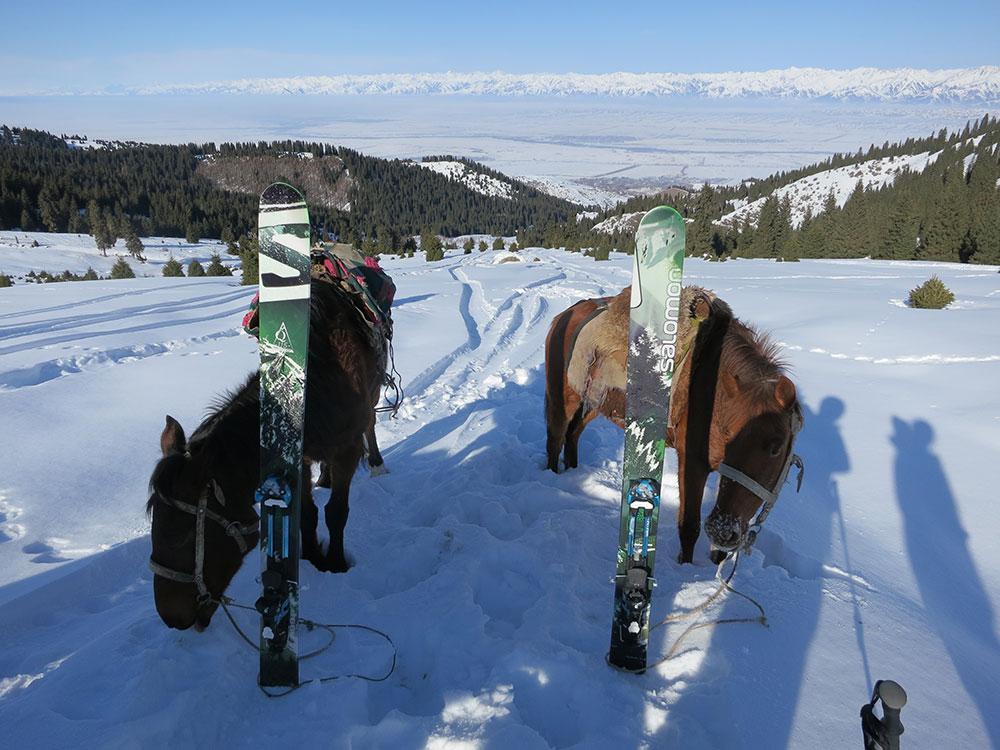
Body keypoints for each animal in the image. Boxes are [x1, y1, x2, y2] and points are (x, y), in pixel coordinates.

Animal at [146, 274, 388, 632]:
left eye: (185, 538)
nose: (171, 617)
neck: (319, 386)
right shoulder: (299, 455)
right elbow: (307, 514)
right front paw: (310, 558)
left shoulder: (347, 448)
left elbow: (336, 512)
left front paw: (334, 564)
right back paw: (325, 479)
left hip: (370, 403)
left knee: (370, 426)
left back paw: (376, 464)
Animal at [548, 286, 804, 564]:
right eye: (727, 434)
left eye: (776, 448)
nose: (722, 530)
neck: (711, 387)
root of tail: (566, 313)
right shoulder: (692, 462)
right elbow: (689, 525)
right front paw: (686, 567)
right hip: (563, 399)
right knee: (556, 438)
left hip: (595, 401)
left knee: (573, 434)